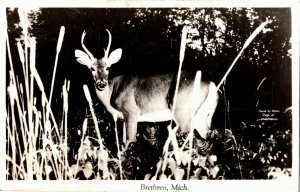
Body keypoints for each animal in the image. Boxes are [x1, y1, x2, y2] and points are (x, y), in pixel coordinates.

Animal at [75, 29, 218, 147]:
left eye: (108, 67)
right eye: (92, 68)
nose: (101, 84)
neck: (112, 92)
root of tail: (211, 83)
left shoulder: (131, 111)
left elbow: (130, 141)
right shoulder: (123, 118)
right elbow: (123, 142)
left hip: (182, 111)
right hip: (202, 114)